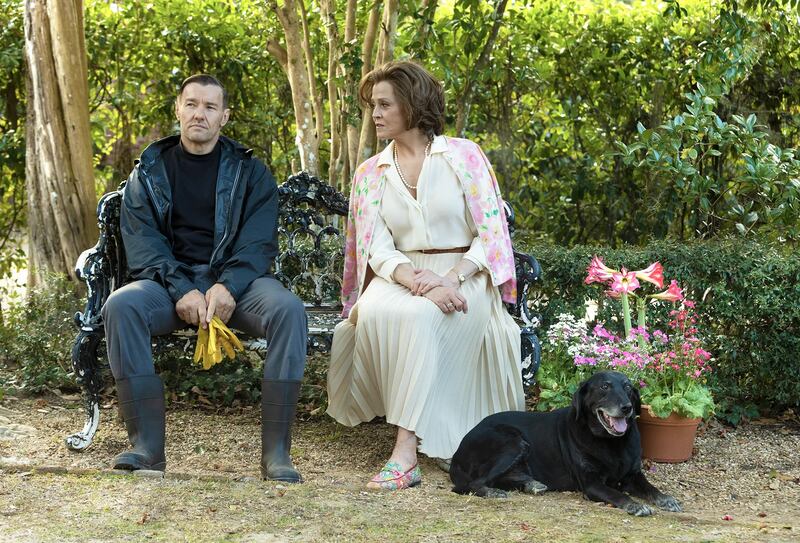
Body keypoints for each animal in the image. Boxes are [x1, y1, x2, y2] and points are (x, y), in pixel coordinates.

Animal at [450, 372, 680, 516]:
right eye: (604, 387)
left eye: (628, 388)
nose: (627, 407)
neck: (611, 442)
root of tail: (457, 452)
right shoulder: (591, 484)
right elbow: (617, 493)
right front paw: (634, 505)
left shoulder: (633, 475)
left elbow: (651, 488)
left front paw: (666, 499)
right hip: (513, 442)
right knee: (471, 484)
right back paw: (493, 492)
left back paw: (531, 484)